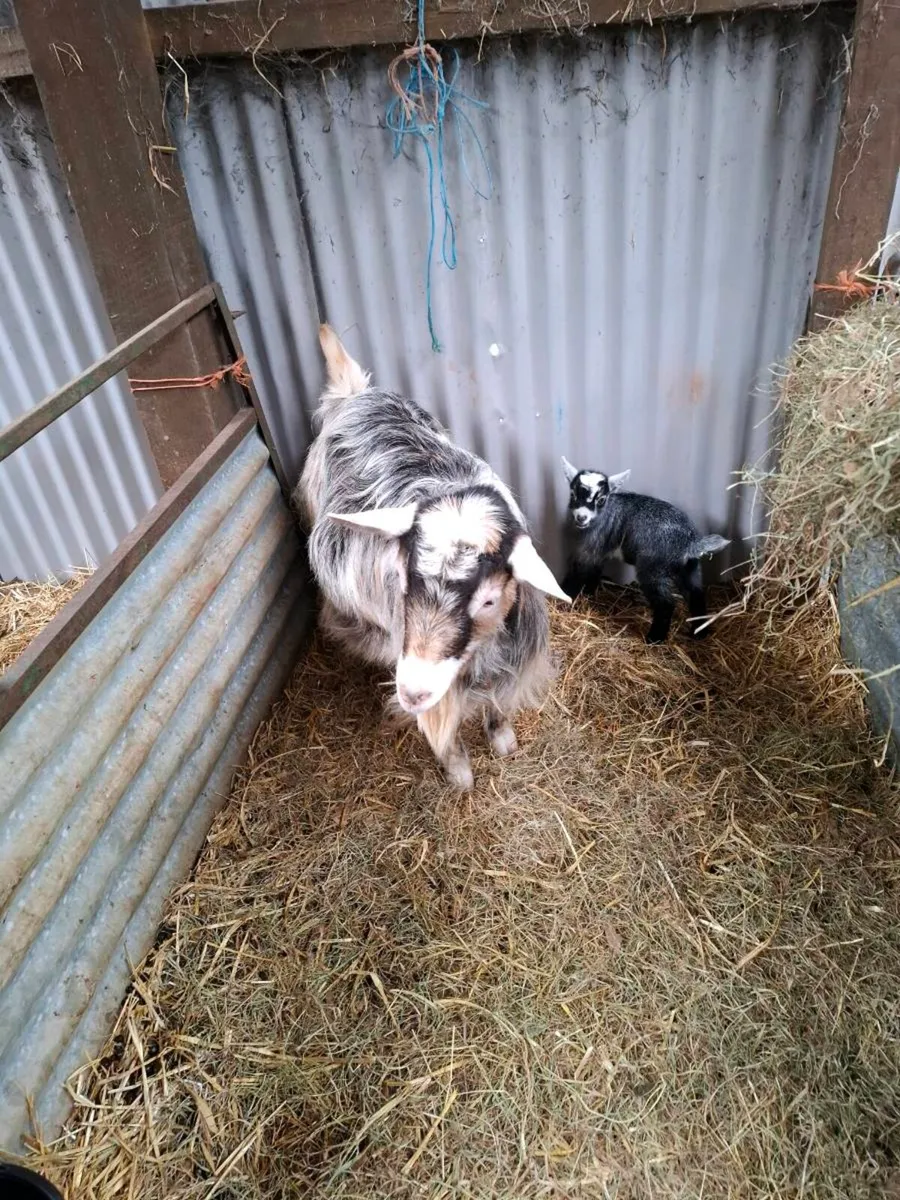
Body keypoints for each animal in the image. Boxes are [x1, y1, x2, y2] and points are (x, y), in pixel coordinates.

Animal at [294, 326, 569, 789]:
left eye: (489, 600)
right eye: (403, 583)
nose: (411, 692)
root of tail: (355, 394)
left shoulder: (512, 663)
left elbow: (497, 705)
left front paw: (504, 741)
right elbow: (447, 729)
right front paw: (460, 774)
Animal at [560, 457, 729, 643]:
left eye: (601, 499)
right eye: (573, 494)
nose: (581, 517)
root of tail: (691, 542)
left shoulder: (591, 546)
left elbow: (579, 572)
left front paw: (565, 596)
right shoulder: (600, 551)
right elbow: (593, 573)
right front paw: (588, 593)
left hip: (652, 568)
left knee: (666, 604)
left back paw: (655, 638)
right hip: (689, 568)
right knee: (696, 594)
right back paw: (699, 632)